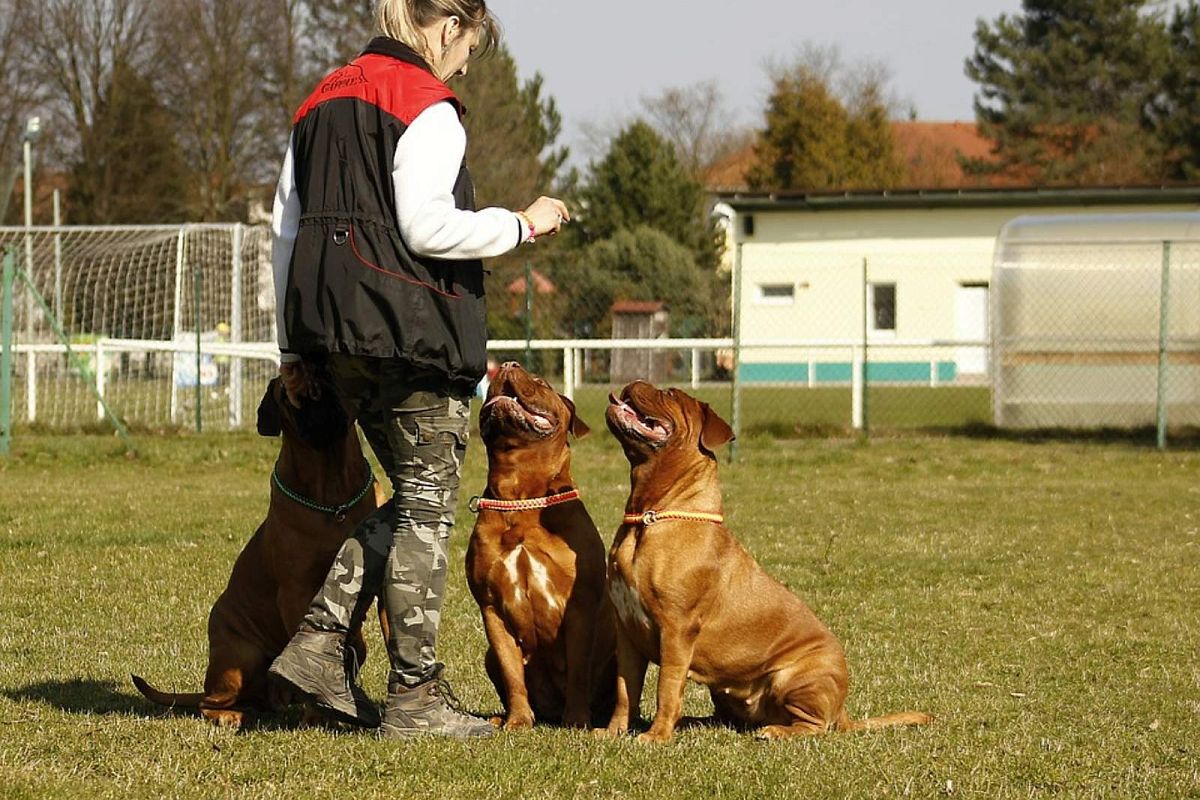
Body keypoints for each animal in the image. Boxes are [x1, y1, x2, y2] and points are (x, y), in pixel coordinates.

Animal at [132, 367, 384, 729]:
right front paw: (316, 712)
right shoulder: (295, 591)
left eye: (327, 380)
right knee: (208, 703)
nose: (317, 405)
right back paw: (231, 714)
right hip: (241, 656)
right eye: (287, 397)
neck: (333, 498)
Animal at [465, 367, 614, 729]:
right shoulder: (491, 608)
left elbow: (578, 671)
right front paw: (518, 720)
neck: (521, 496)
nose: (507, 363)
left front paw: (577, 720)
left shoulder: (580, 608)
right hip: (488, 655)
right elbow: (512, 673)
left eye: (542, 384)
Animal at [600, 381, 926, 743]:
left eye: (670, 394)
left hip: (796, 676)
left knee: (814, 726)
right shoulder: (626, 631)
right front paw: (613, 731)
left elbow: (667, 688)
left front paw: (656, 735)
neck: (649, 515)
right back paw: (693, 722)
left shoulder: (676, 630)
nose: (635, 382)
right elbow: (625, 690)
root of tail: (843, 711)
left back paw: (775, 730)